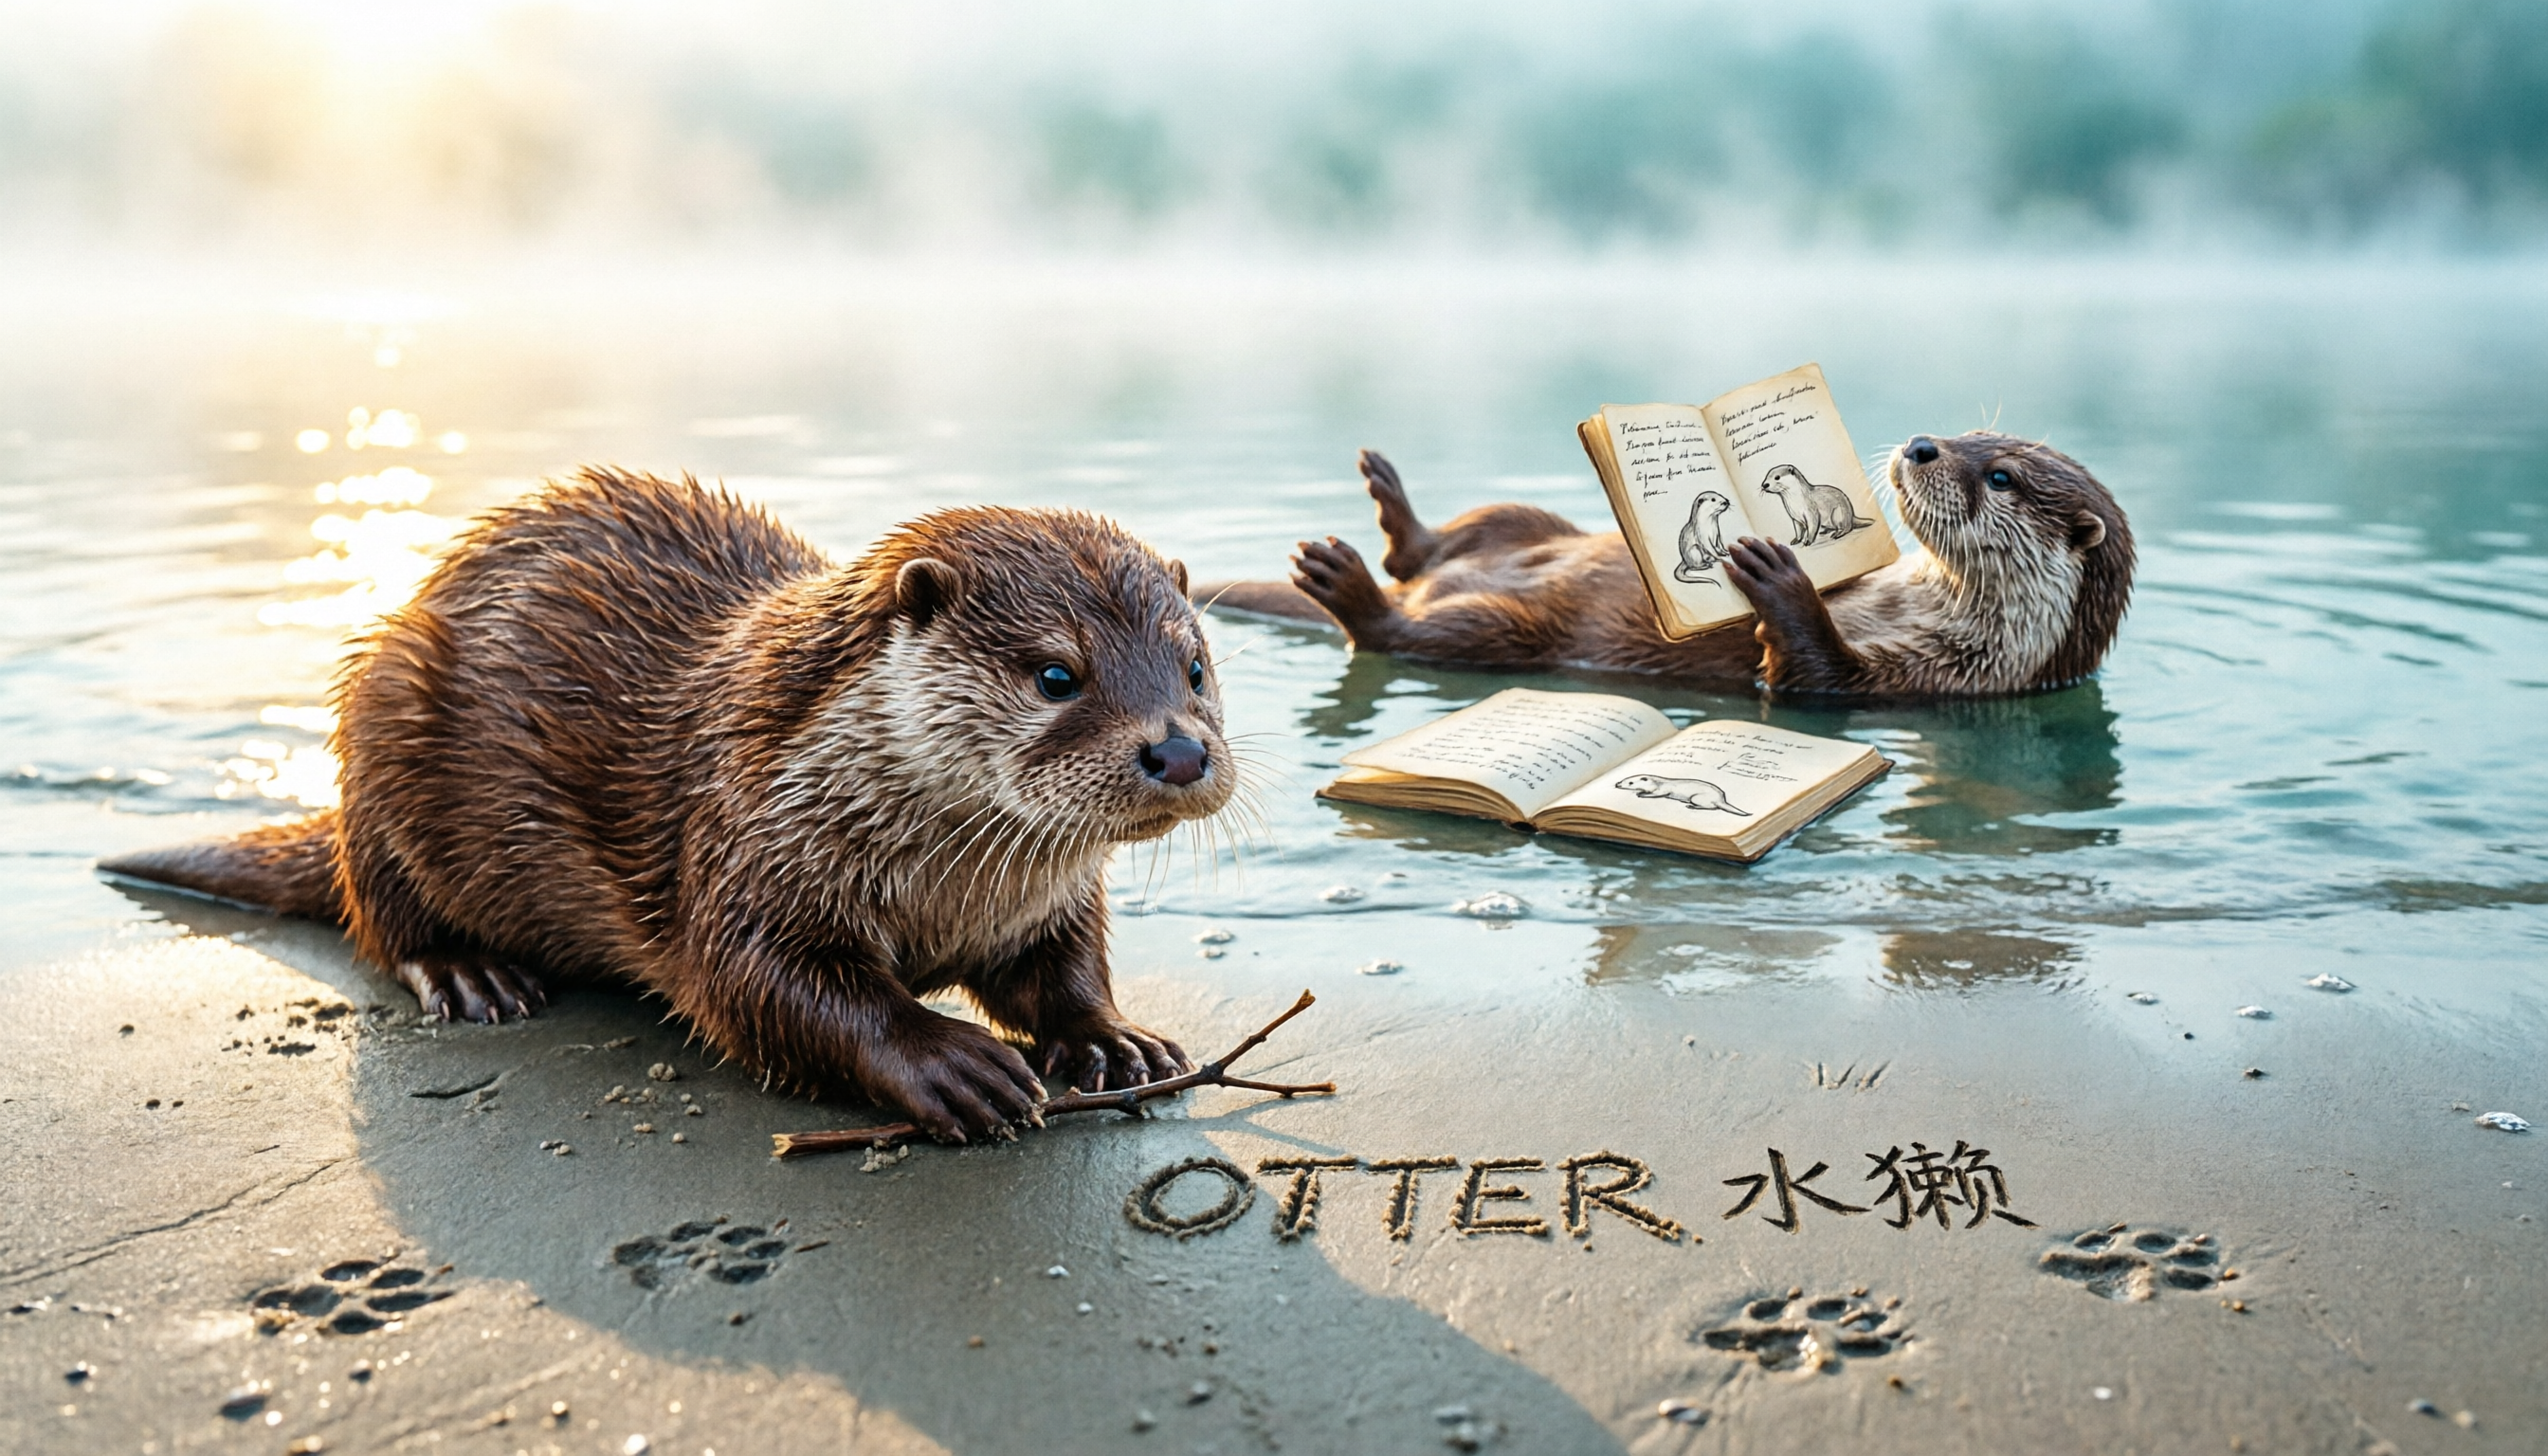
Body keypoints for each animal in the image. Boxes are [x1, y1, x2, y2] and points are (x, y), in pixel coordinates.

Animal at [100, 469, 1235, 1142]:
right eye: (1056, 675)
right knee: (384, 917)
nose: (1180, 750)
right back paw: (471, 974)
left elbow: (1063, 967)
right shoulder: (745, 842)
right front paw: (952, 1062)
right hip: (383, 731)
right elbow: (754, 985)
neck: (946, 890)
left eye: (1194, 666)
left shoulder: (1046, 901)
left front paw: (1114, 1040)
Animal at [1198, 434, 2133, 698]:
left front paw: (1777, 573)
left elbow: (1803, 673)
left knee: (1401, 630)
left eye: (2000, 474)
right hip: (1518, 519)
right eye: (1972, 431)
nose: (1921, 444)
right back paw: (1393, 508)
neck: (1921, 611)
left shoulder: (1925, 680)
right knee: (1451, 538)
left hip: (1504, 636)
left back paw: (1343, 581)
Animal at [1614, 774, 1750, 816]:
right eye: (1623, 780)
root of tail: (1721, 799)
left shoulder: (1663, 789)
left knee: (1711, 807)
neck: (1658, 782)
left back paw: (1691, 806)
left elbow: (1659, 794)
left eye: (1630, 782)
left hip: (1697, 797)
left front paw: (1640, 793)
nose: (1617, 784)